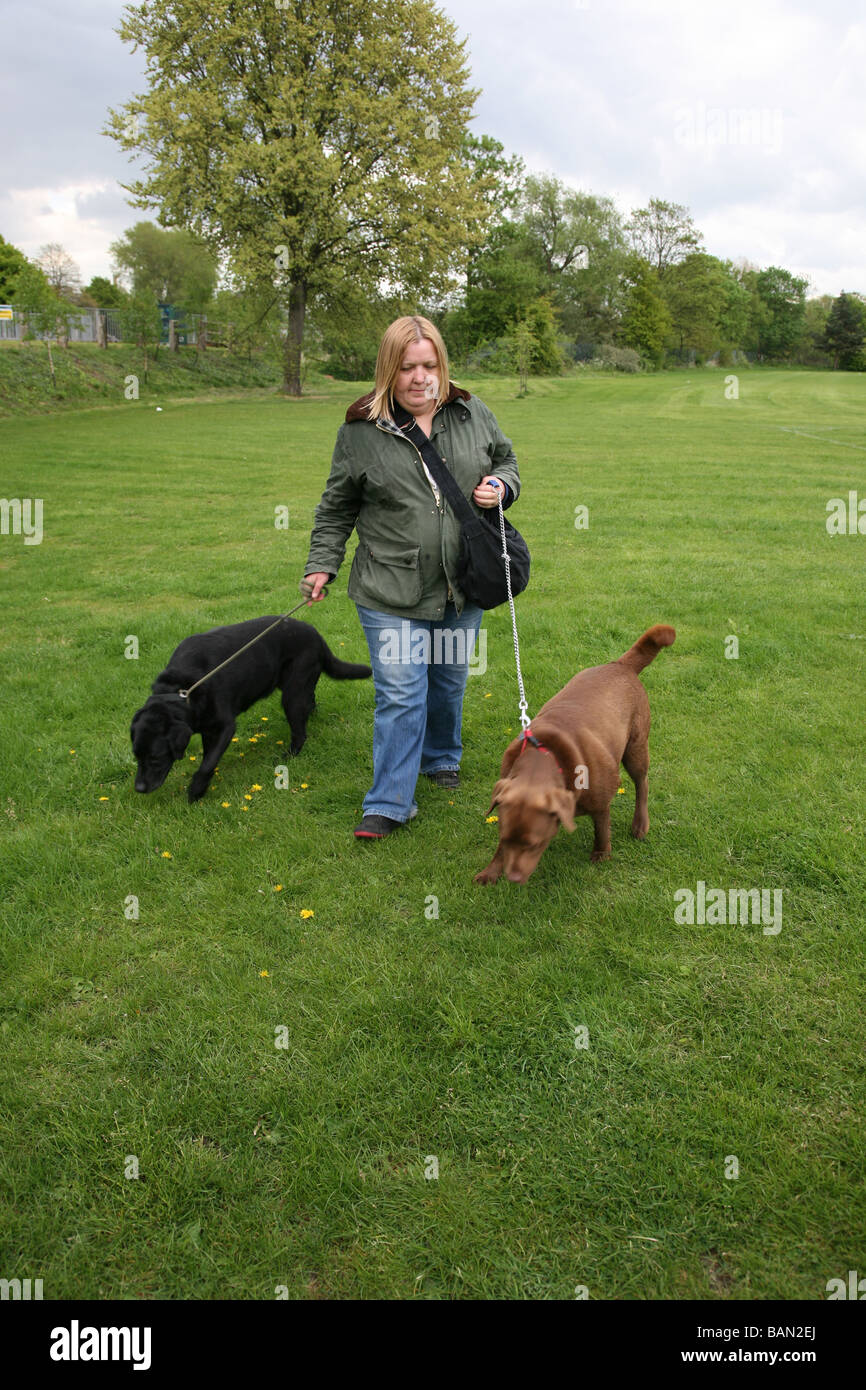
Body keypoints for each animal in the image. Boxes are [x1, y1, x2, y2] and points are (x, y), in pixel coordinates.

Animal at [132, 614, 372, 800]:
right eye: (136, 757)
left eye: (155, 757)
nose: (139, 788)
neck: (184, 690)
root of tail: (316, 635)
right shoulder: (206, 727)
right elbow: (208, 758)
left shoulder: (225, 726)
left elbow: (208, 763)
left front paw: (196, 790)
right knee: (310, 701)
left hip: (292, 693)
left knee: (299, 731)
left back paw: (289, 755)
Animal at [478, 625, 675, 884]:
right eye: (506, 838)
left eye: (534, 845)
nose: (513, 878)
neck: (546, 758)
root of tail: (620, 665)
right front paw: (491, 872)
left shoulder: (602, 800)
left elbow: (601, 827)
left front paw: (601, 854)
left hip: (636, 747)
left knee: (642, 783)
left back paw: (640, 824)